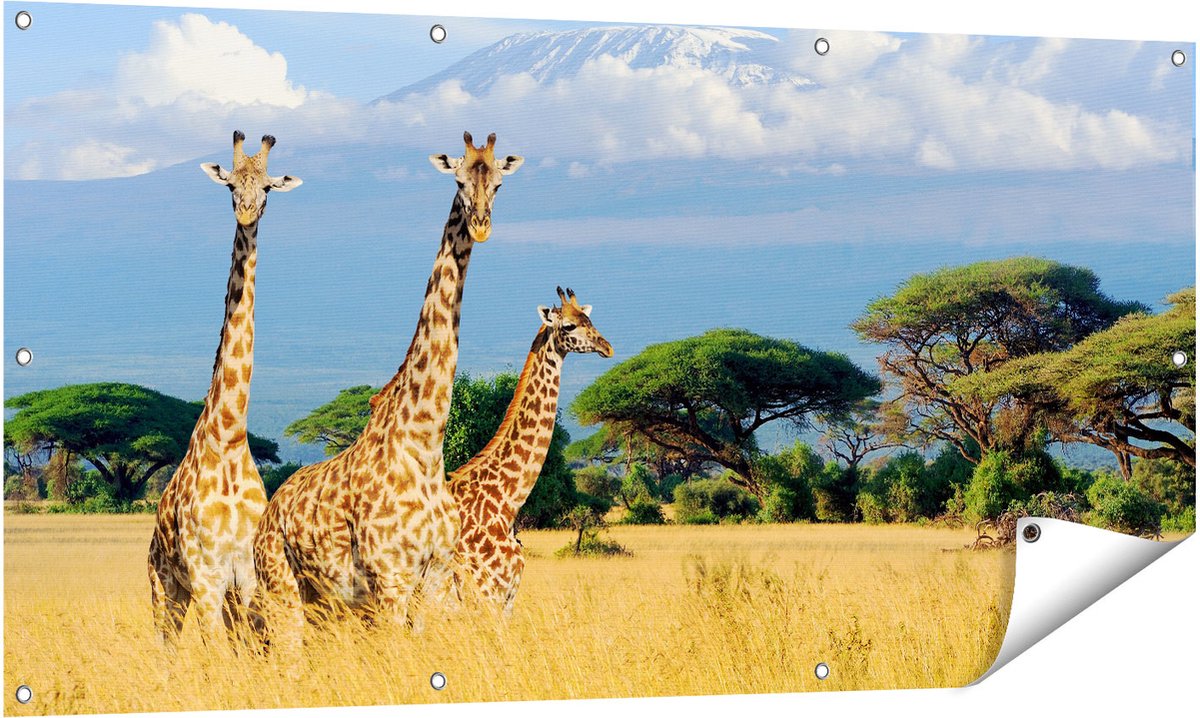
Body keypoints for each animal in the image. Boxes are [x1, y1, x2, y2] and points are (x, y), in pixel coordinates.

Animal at [147, 131, 302, 648]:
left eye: (269, 188)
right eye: (231, 185)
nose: (247, 212)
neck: (230, 436)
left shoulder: (247, 577)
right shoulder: (207, 576)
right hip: (164, 589)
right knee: (167, 648)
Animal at [253, 132, 523, 646]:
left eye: (499, 183)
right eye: (459, 180)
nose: (480, 226)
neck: (424, 444)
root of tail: (269, 512)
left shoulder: (436, 578)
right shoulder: (391, 580)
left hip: (327, 604)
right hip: (282, 588)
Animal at [448, 288, 613, 615]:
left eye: (590, 319)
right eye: (569, 326)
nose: (607, 347)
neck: (506, 502)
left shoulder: (506, 599)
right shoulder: (488, 594)